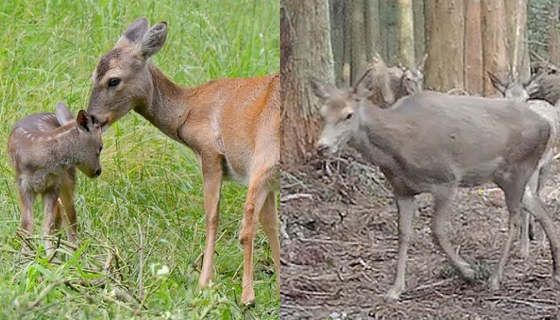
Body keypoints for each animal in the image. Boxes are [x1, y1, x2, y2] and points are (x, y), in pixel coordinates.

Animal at [8, 102, 103, 255]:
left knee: (70, 216)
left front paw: (50, 256)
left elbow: (48, 225)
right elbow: (27, 225)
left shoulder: (53, 185)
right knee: (61, 216)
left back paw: (74, 250)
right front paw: (25, 256)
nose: (98, 171)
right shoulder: (23, 184)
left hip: (68, 180)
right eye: (100, 147)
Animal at [86, 17, 278, 304]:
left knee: (247, 227)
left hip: (264, 157)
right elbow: (272, 225)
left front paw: (204, 283)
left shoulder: (210, 152)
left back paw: (247, 297)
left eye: (113, 80)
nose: (91, 118)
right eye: (93, 76)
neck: (187, 108)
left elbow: (212, 215)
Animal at [310, 76, 560, 298]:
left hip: (518, 168)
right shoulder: (401, 189)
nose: (322, 147)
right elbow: (403, 234)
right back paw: (555, 271)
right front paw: (395, 289)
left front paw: (468, 272)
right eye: (322, 114)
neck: (397, 149)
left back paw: (495, 278)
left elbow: (437, 231)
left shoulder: (446, 180)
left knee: (516, 219)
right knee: (541, 210)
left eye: (348, 114)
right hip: (509, 175)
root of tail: (547, 125)